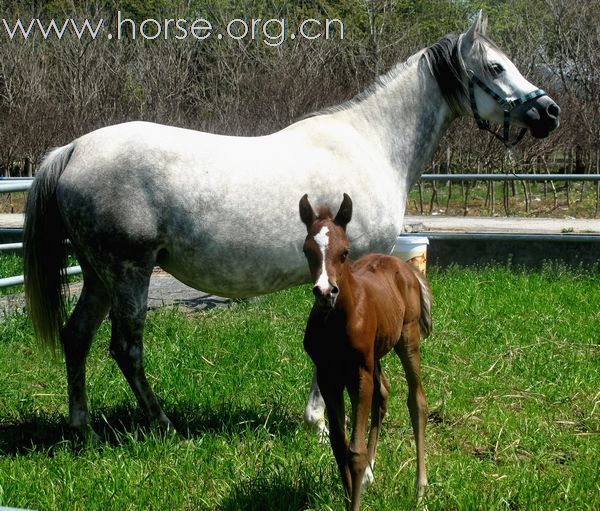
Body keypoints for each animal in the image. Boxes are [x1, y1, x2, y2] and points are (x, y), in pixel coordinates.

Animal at [298, 194, 432, 510]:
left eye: (344, 252)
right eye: (307, 250)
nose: (325, 292)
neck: (337, 320)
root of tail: (405, 267)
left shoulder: (360, 373)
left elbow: (354, 451)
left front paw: (355, 501)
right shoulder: (330, 376)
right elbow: (339, 445)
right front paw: (352, 492)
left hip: (407, 339)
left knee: (416, 400)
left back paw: (420, 489)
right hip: (375, 356)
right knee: (383, 394)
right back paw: (372, 474)